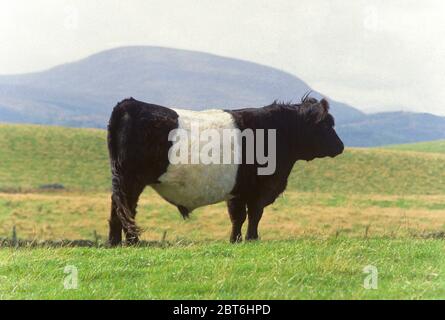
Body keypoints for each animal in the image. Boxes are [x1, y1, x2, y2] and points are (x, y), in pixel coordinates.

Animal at [107, 95, 344, 245]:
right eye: (326, 125)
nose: (340, 146)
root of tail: (129, 104)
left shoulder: (238, 191)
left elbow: (238, 217)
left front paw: (235, 240)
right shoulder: (260, 188)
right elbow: (254, 214)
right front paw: (251, 239)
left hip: (122, 179)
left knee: (117, 208)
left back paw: (115, 242)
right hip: (131, 179)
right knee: (127, 209)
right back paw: (132, 241)